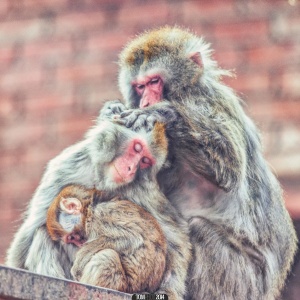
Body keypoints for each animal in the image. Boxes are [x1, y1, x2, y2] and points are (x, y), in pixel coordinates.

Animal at [6, 113, 190, 300]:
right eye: (137, 148)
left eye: (145, 161)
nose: (131, 168)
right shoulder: (67, 167)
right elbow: (31, 228)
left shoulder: (142, 190)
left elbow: (172, 238)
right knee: (42, 234)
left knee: (106, 257)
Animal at [106, 26, 296, 300]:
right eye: (140, 86)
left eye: (154, 82)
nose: (145, 101)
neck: (185, 93)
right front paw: (111, 110)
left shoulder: (206, 104)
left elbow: (229, 170)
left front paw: (163, 114)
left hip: (244, 281)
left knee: (199, 229)